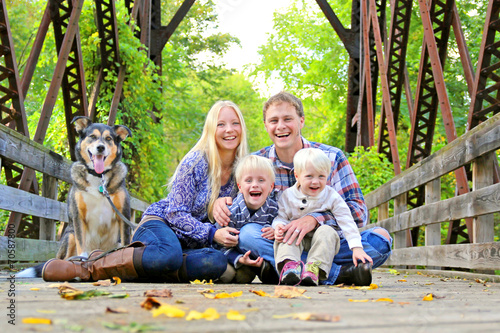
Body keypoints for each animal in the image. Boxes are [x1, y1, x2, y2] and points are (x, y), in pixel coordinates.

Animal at [56, 116, 133, 260]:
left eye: (108, 138)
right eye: (92, 136)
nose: (101, 147)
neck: (98, 176)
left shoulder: (123, 214)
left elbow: (127, 242)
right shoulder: (78, 216)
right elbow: (81, 245)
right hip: (70, 235)